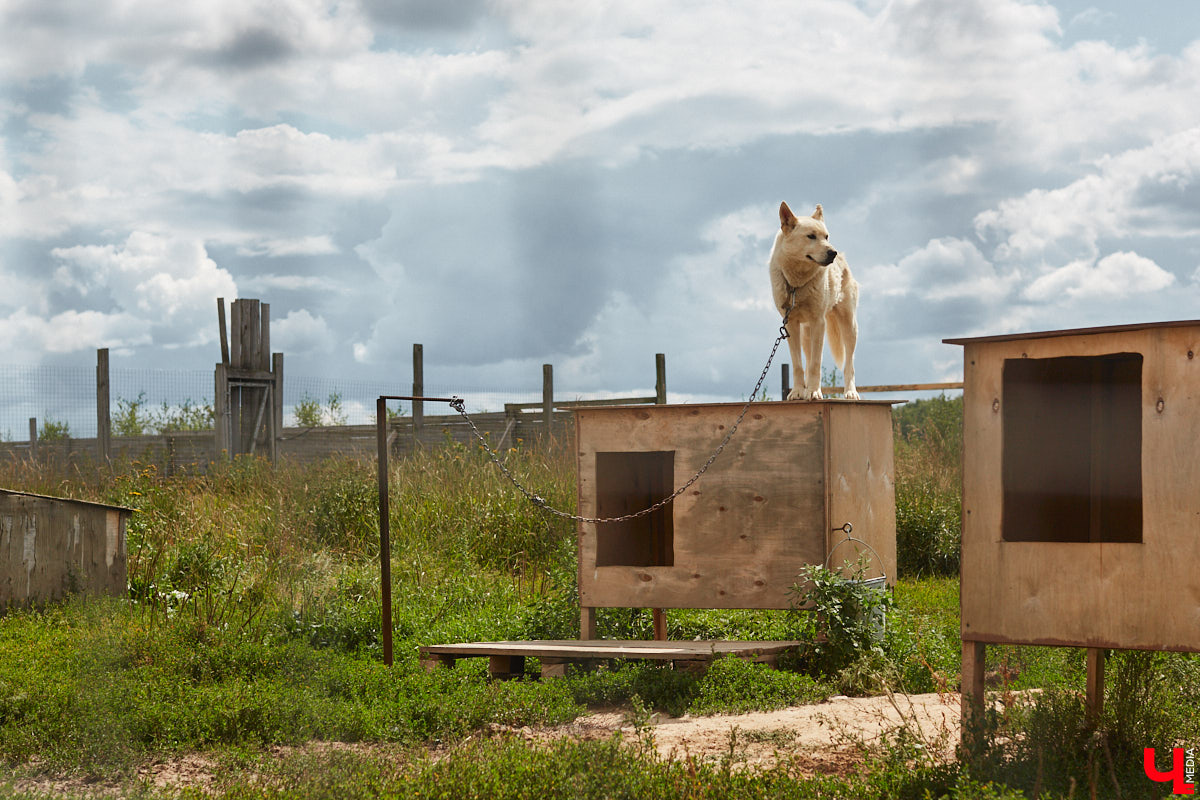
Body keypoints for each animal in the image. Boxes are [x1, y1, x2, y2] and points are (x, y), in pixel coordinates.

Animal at [768, 200, 864, 400]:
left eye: (826, 236)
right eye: (811, 236)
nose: (832, 252)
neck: (797, 284)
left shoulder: (819, 322)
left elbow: (815, 364)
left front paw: (813, 392)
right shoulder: (791, 325)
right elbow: (798, 365)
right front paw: (798, 391)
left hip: (849, 326)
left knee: (849, 364)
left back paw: (851, 392)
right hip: (806, 333)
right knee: (807, 358)